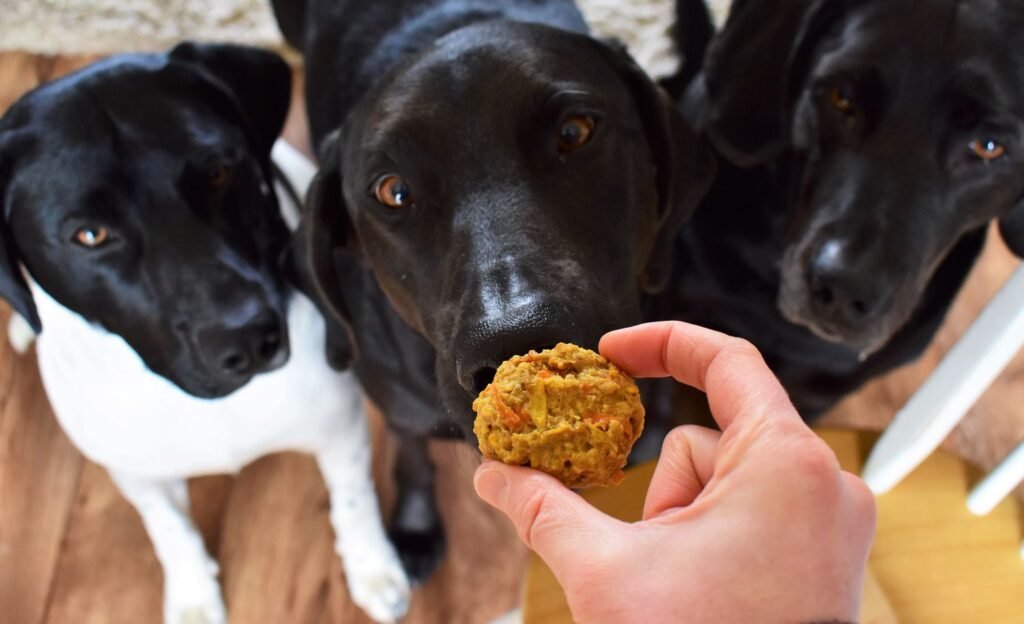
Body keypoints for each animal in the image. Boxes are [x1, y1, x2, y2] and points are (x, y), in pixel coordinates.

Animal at [272, 0, 716, 577]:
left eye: (574, 131)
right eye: (393, 192)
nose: (516, 337)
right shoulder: (400, 406)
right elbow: (411, 454)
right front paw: (415, 526)